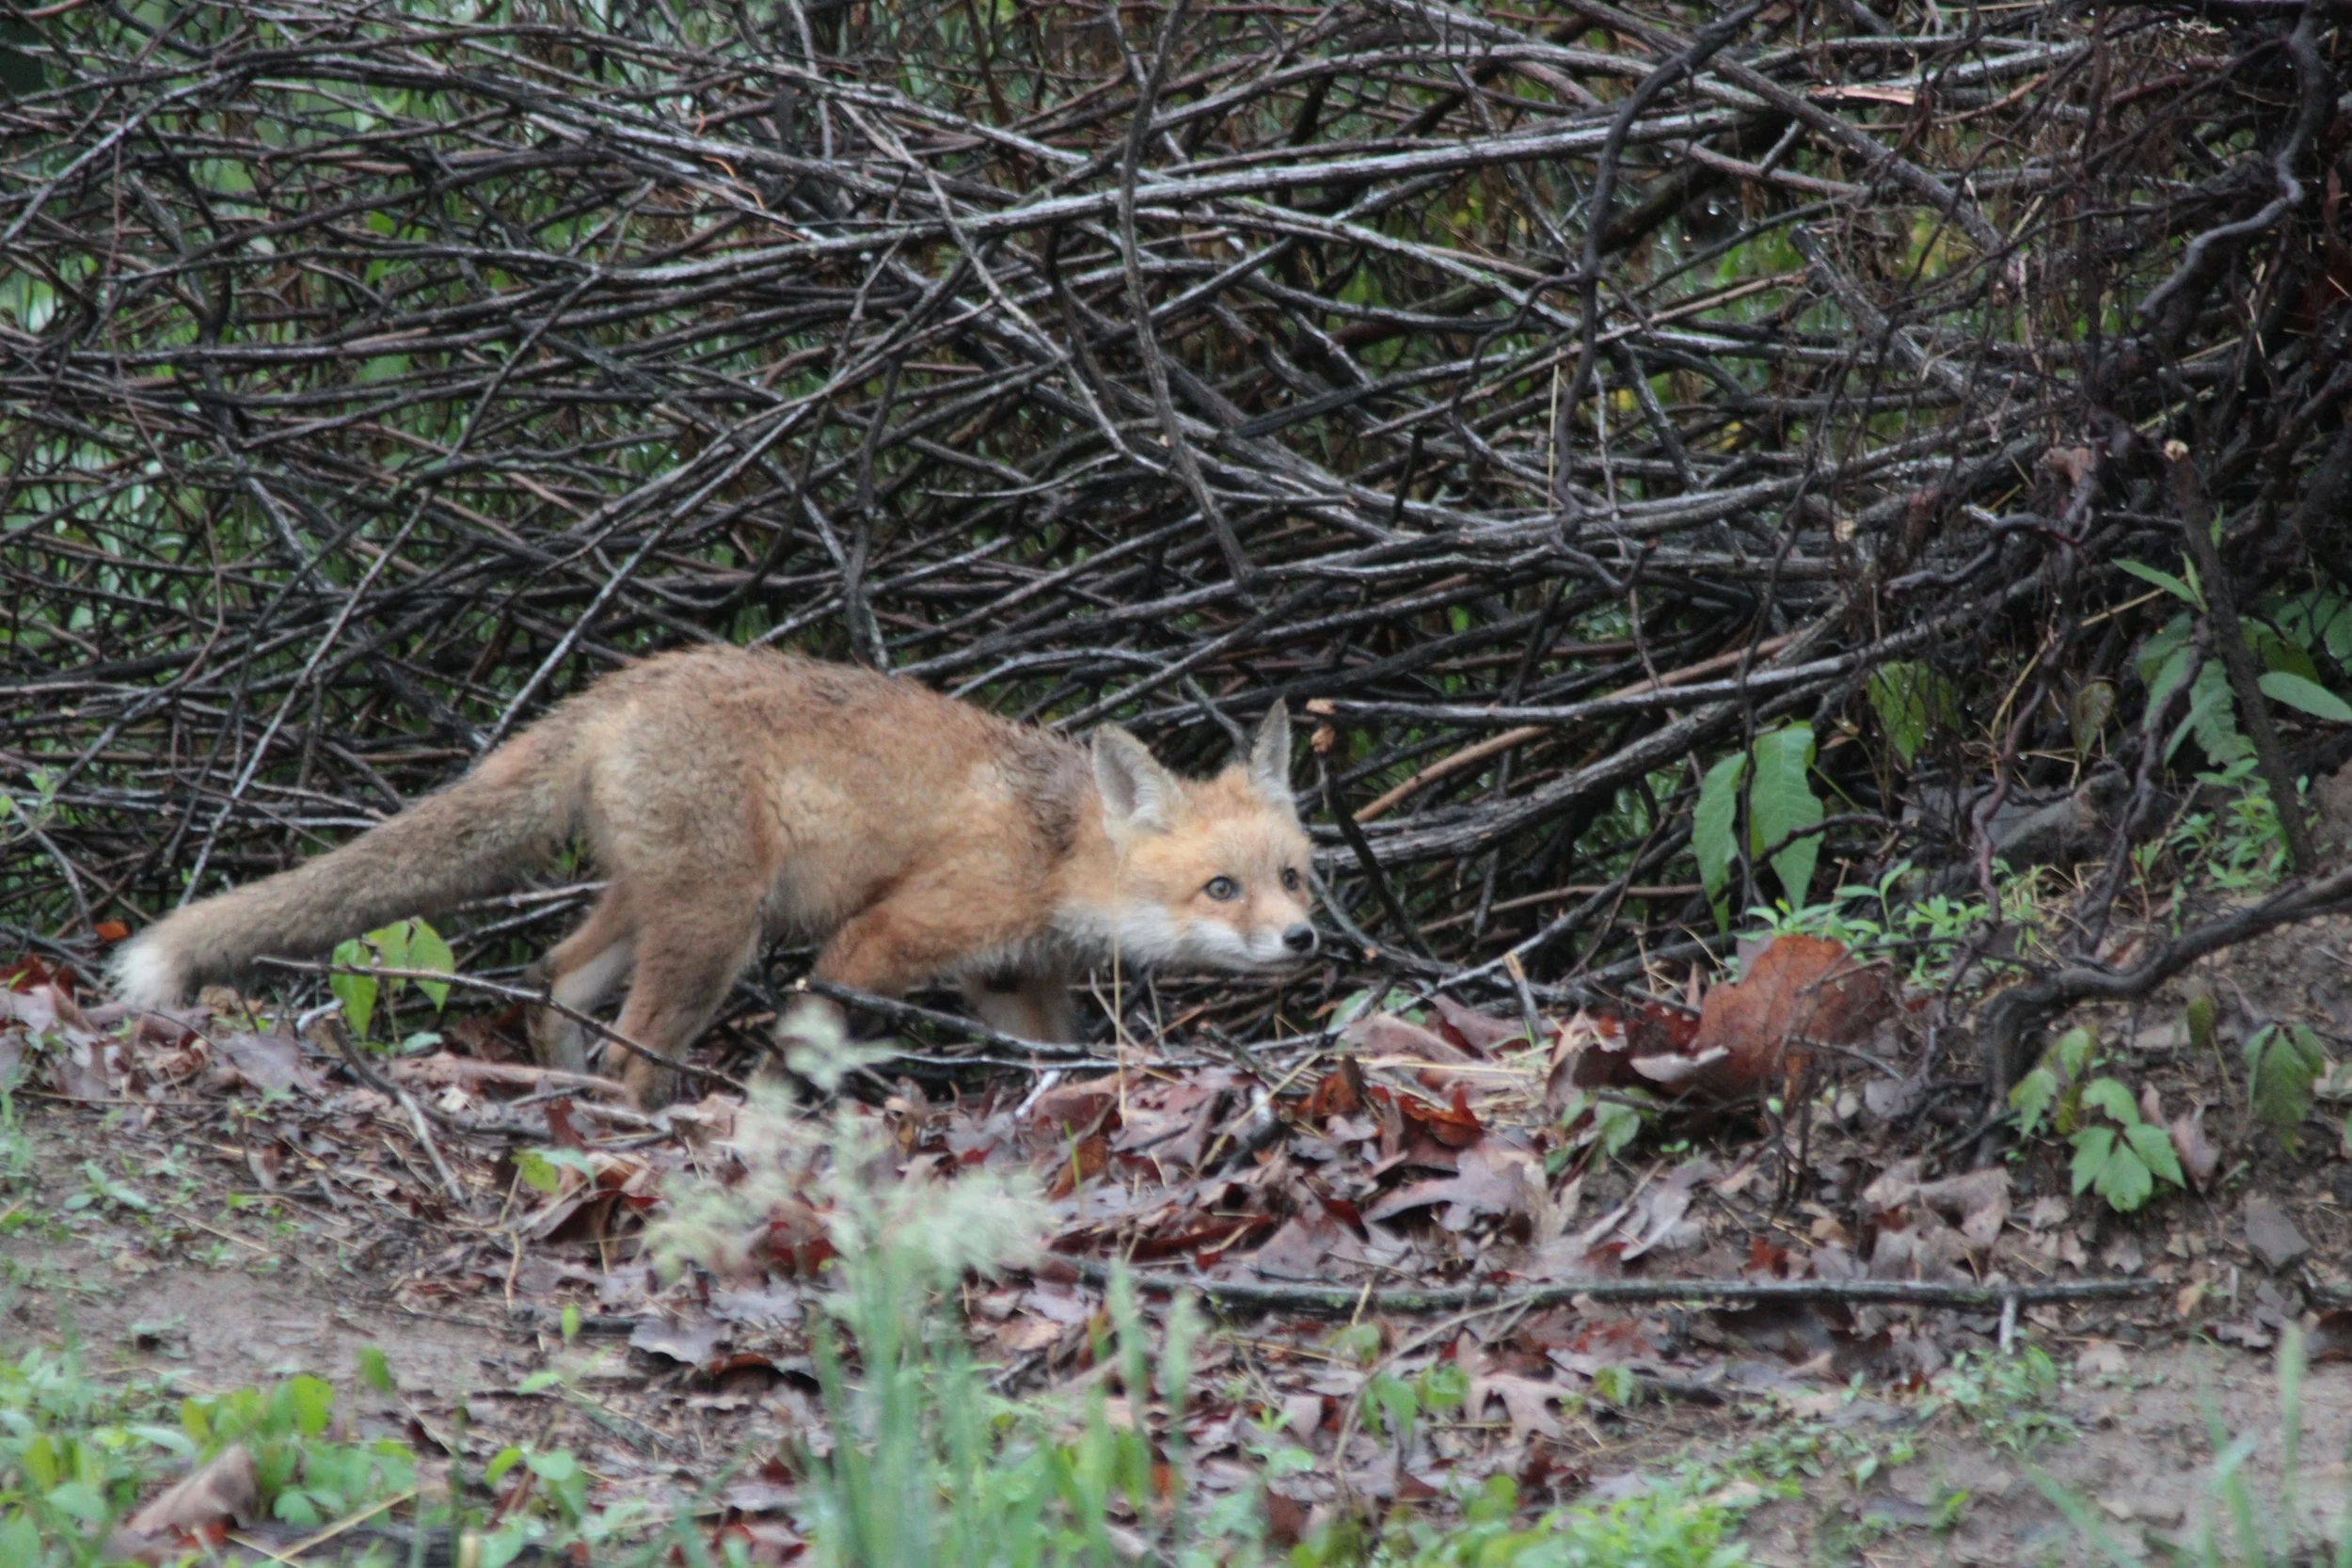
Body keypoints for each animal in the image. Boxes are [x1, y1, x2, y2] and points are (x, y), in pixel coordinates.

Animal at [108, 645, 1318, 1104]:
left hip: (655, 906)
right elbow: (802, 1043)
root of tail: (623, 686)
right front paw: (772, 1125)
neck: (1056, 844)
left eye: (1296, 877)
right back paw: (642, 1127)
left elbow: (1052, 1057)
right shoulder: (883, 937)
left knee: (555, 973)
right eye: (1221, 888)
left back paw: (565, 1094)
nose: (1304, 942)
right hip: (717, 933)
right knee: (633, 1048)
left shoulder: (1012, 979)